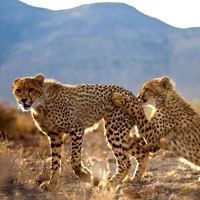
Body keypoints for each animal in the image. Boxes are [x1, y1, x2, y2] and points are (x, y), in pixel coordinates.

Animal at [12, 74, 155, 191]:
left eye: (31, 89)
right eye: (18, 90)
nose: (23, 100)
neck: (41, 104)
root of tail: (131, 94)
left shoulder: (77, 129)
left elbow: (74, 159)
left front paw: (87, 176)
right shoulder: (55, 136)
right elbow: (55, 163)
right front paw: (51, 184)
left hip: (114, 130)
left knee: (125, 162)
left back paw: (110, 184)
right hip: (120, 132)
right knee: (142, 153)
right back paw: (134, 179)